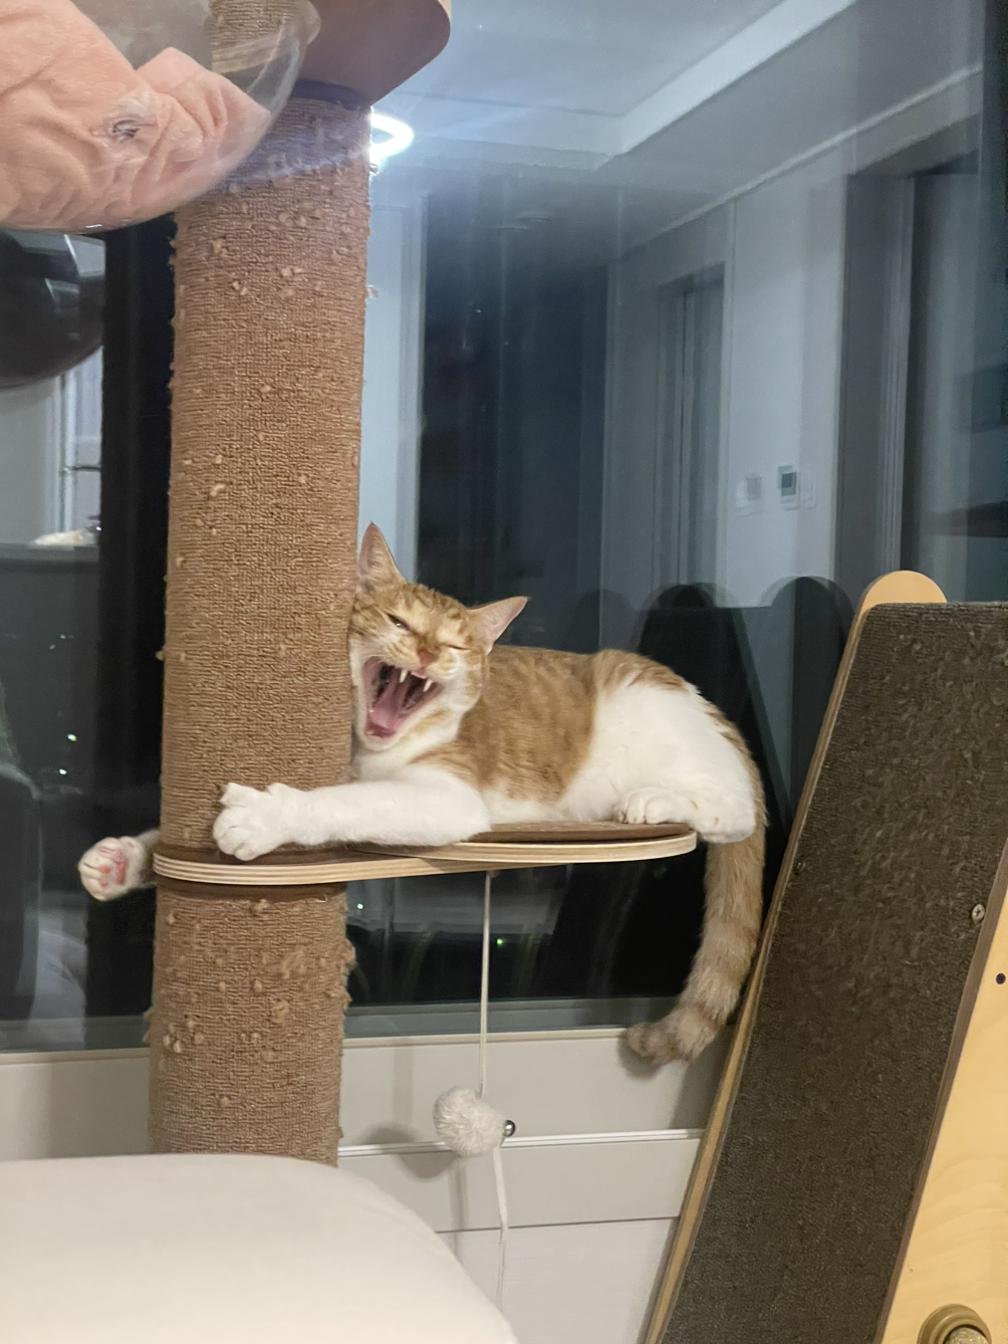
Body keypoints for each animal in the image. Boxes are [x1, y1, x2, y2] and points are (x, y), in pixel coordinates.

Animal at [79, 523, 766, 1064]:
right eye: (398, 621)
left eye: (456, 644)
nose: (430, 652)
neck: (365, 747)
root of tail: (713, 713)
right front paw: (126, 859)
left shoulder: (447, 797)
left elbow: (342, 802)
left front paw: (268, 815)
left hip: (662, 749)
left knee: (731, 810)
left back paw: (656, 802)